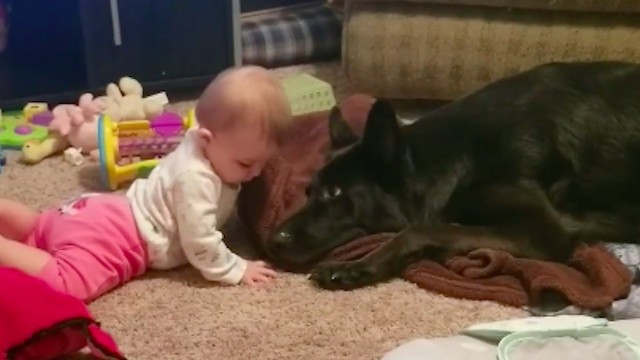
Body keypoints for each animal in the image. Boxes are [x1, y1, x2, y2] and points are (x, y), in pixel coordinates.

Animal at [264, 61, 640, 290]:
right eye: (309, 192)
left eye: (334, 193)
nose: (273, 240)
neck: (459, 154)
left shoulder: (543, 232)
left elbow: (423, 228)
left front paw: (353, 268)